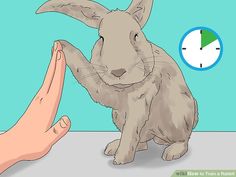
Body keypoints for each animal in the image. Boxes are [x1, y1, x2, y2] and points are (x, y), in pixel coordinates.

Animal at [37, 0, 199, 165]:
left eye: (135, 35)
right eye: (102, 38)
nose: (118, 71)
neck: (123, 87)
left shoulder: (140, 100)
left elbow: (130, 130)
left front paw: (121, 160)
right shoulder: (106, 91)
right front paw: (61, 45)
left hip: (177, 116)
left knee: (183, 139)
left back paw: (171, 152)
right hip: (119, 116)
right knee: (142, 142)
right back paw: (112, 147)